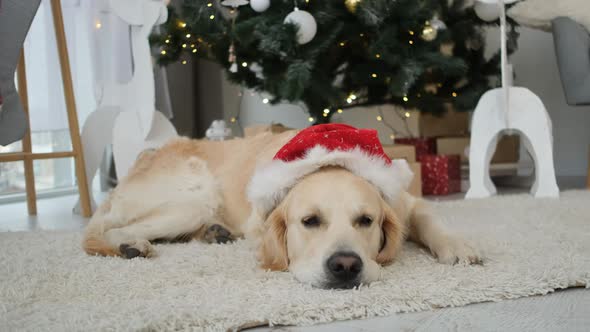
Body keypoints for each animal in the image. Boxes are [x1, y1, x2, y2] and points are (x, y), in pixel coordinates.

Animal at [82, 126, 480, 290]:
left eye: (366, 220)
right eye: (310, 221)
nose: (345, 266)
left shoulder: (404, 201)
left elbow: (428, 216)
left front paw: (457, 245)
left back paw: (214, 232)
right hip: (195, 197)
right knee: (105, 231)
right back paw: (131, 245)